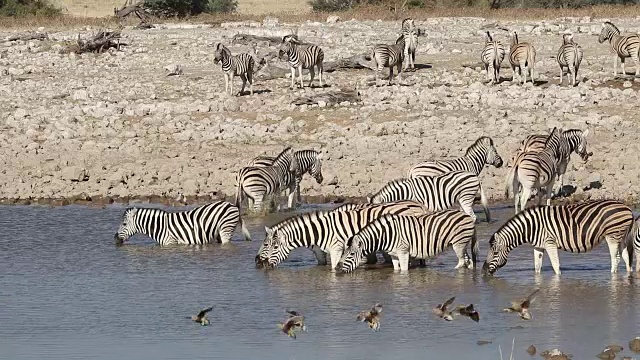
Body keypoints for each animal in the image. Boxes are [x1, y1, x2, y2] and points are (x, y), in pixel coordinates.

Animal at [114, 201, 251, 246]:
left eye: (124, 224)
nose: (115, 239)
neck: (159, 226)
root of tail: (232, 205)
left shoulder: (171, 243)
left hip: (226, 229)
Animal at [258, 200, 430, 270]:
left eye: (269, 245)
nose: (260, 263)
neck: (321, 230)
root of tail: (418, 205)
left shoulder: (336, 249)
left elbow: (334, 268)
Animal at [338, 210, 478, 272]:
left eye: (351, 254)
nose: (341, 269)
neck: (386, 235)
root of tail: (466, 215)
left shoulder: (403, 251)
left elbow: (404, 271)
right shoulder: (394, 254)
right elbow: (396, 270)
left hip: (458, 243)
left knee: (461, 262)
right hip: (462, 243)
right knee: (469, 261)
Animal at [480, 200, 636, 276]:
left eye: (495, 253)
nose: (483, 272)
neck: (531, 227)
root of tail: (627, 208)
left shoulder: (550, 242)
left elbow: (555, 265)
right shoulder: (538, 245)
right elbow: (537, 267)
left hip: (613, 235)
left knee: (615, 258)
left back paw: (612, 277)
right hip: (621, 236)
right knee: (626, 258)